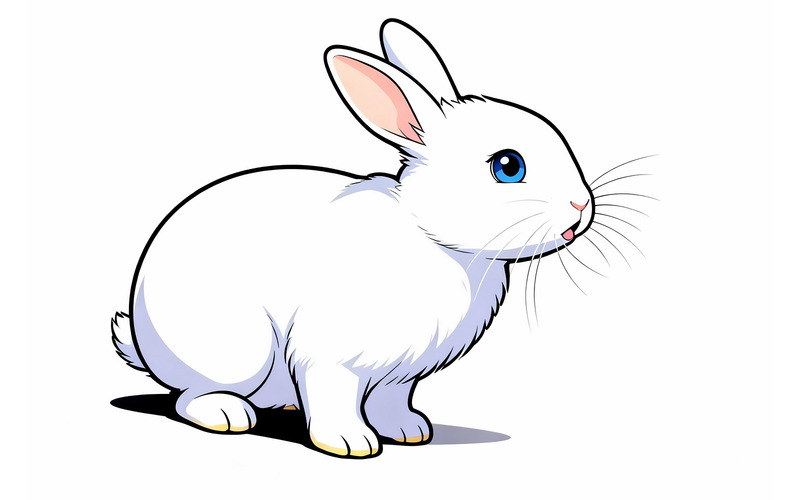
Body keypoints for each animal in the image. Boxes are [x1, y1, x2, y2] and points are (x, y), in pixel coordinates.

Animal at [112, 18, 594, 458]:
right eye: (508, 166)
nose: (582, 206)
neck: (431, 239)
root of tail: (143, 340)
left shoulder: (401, 372)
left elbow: (391, 400)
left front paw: (409, 431)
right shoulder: (330, 356)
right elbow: (334, 396)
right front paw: (350, 444)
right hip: (237, 353)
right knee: (190, 395)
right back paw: (228, 415)